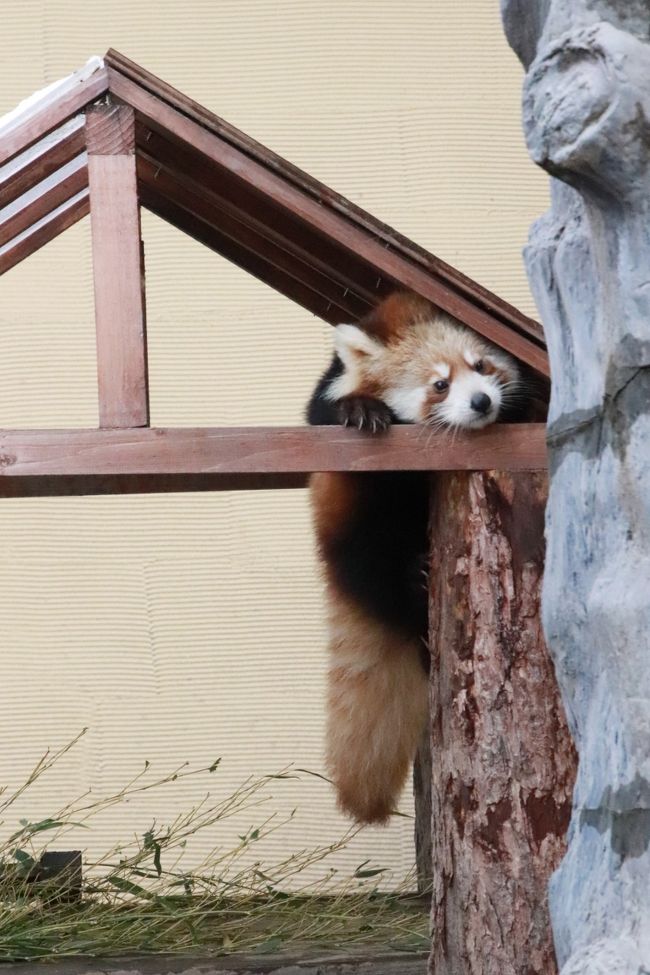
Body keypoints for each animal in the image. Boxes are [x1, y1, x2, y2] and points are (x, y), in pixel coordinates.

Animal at [306, 294, 532, 828]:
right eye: (439, 384)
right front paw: (360, 410)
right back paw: (414, 582)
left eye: (481, 365)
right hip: (357, 531)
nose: (481, 402)